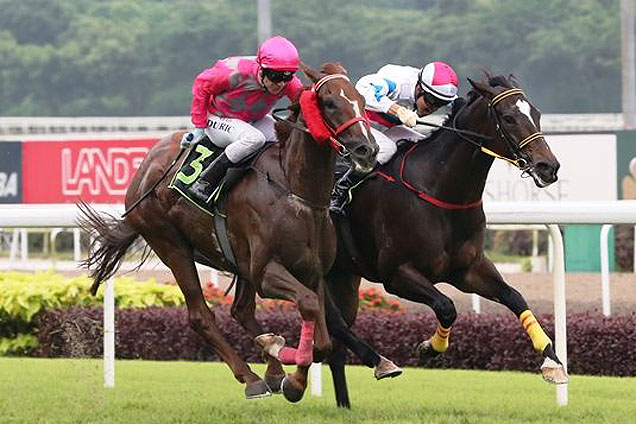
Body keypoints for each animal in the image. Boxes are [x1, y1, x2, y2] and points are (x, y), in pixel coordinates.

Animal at [78, 62, 378, 400]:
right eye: (329, 102)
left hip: (239, 260)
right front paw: (292, 378)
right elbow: (310, 308)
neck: (295, 190)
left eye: (362, 101)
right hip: (171, 244)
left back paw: (272, 368)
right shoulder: (266, 271)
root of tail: (144, 170)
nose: (367, 149)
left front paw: (285, 366)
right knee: (201, 315)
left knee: (241, 310)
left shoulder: (312, 272)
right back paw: (252, 377)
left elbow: (323, 338)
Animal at [322, 73, 568, 408]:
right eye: (508, 117)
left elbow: (515, 297)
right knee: (331, 324)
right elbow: (446, 306)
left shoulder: (469, 270)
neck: (439, 190)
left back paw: (344, 404)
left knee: (336, 342)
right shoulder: (396, 274)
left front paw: (552, 361)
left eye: (537, 113)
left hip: (344, 276)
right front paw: (430, 347)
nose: (548, 167)